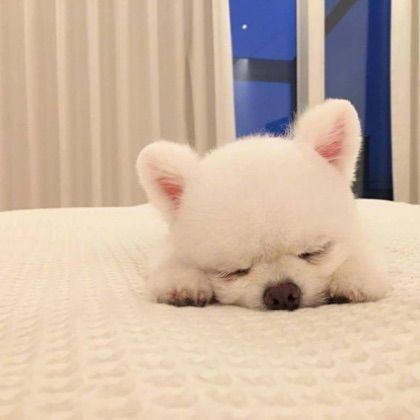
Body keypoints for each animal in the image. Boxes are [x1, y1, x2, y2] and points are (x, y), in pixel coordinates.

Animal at [136, 99, 388, 310]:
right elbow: (172, 262)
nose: (283, 292)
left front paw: (353, 276)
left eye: (315, 252)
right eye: (233, 272)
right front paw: (183, 281)